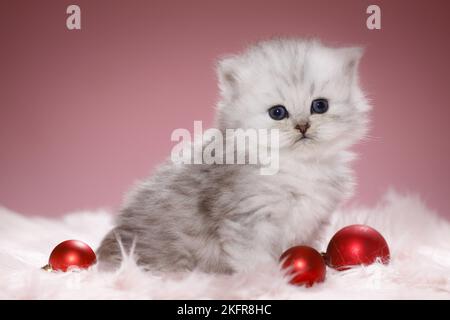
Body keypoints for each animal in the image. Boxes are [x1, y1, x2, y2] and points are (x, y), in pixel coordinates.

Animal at [96, 37, 370, 272]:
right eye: (278, 112)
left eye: (320, 106)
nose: (303, 126)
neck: (297, 167)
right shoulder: (248, 221)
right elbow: (257, 263)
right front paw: (270, 284)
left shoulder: (310, 224)